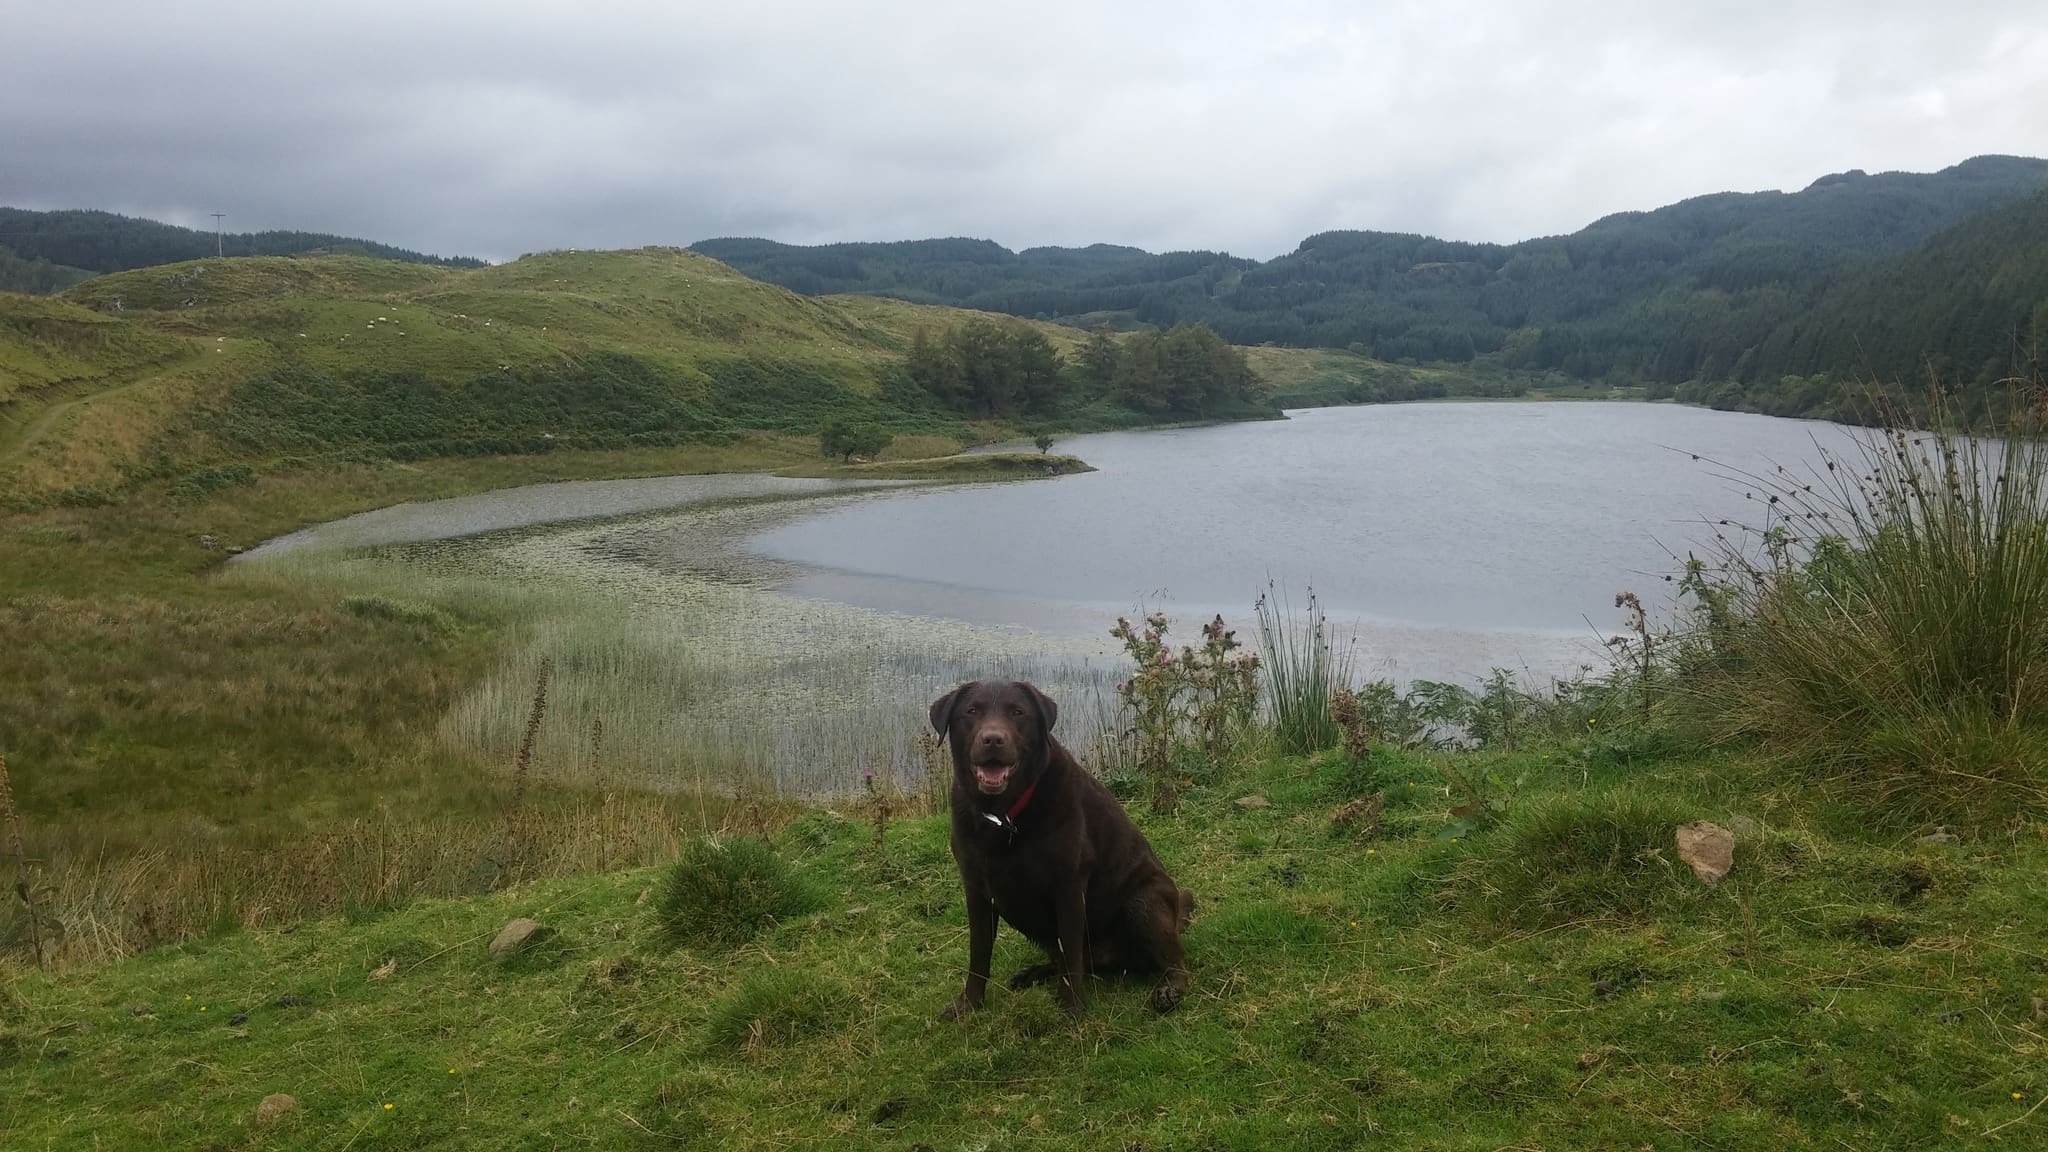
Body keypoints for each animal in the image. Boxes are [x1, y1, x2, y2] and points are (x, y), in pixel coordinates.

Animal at [929, 679, 1194, 1018]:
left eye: (1018, 712)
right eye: (972, 711)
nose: (993, 739)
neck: (1003, 816)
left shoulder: (1068, 887)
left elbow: (1070, 955)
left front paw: (1072, 1009)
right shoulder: (976, 890)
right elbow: (978, 955)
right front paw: (969, 1004)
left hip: (1144, 902)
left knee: (1172, 962)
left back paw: (1170, 989)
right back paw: (1034, 973)